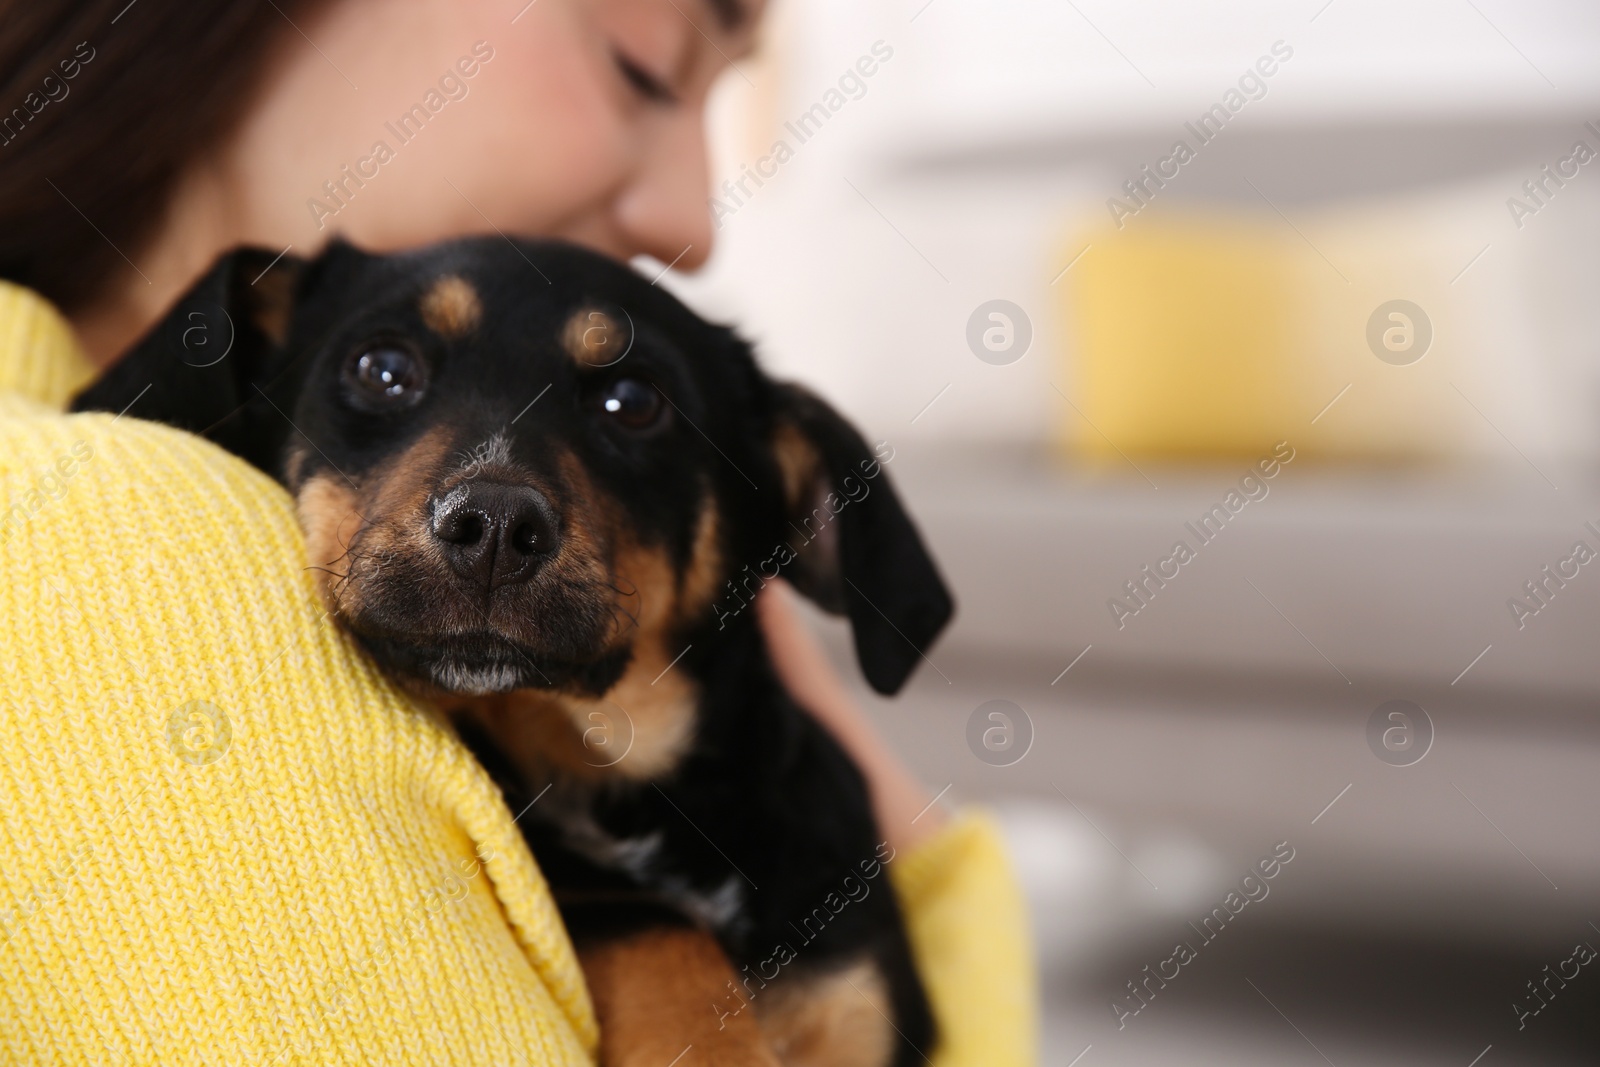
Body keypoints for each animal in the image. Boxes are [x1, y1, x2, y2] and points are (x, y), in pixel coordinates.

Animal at [72, 239, 947, 1067]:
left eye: (634, 403)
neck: (624, 777)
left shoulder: (854, 991)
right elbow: (647, 921)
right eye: (383, 369)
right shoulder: (590, 895)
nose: (492, 525)